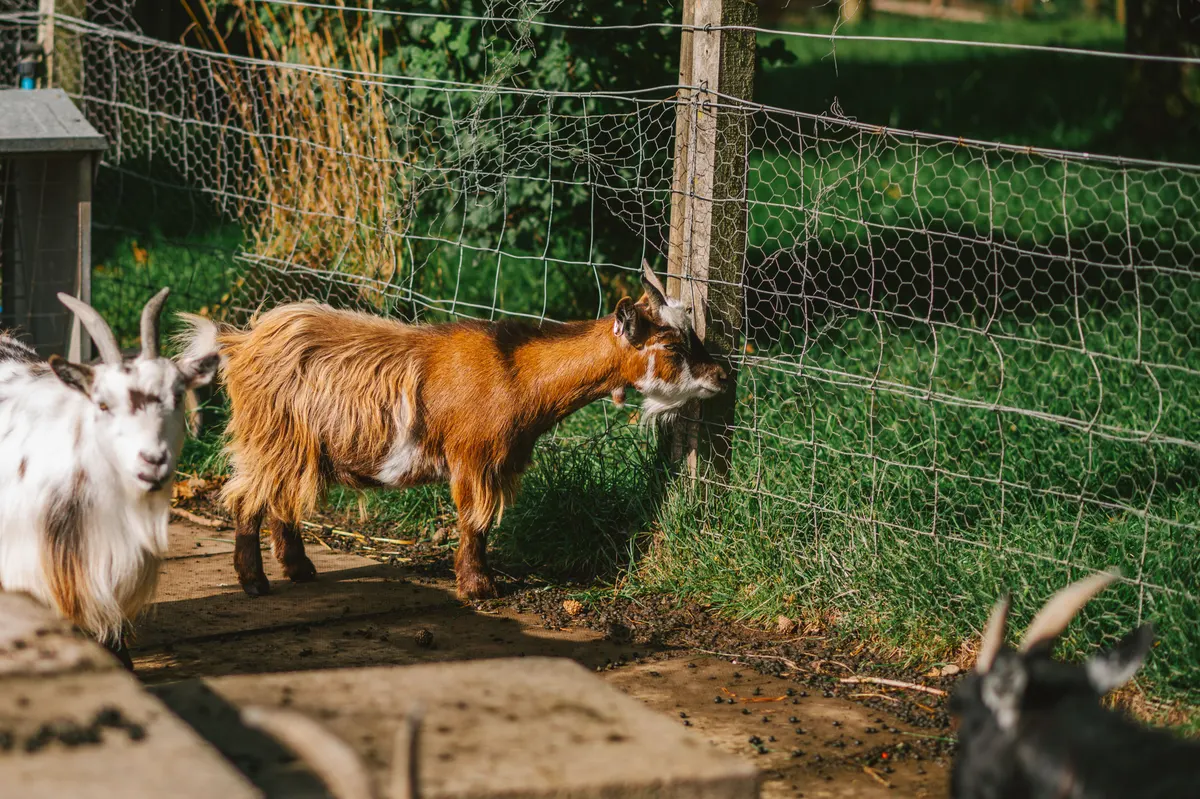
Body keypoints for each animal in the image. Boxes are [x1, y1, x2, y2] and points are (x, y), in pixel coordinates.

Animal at [176, 260, 730, 601]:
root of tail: (241, 342)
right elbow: (474, 522)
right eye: (673, 347)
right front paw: (478, 586)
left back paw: (300, 569)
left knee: (281, 499)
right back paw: (255, 582)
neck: (517, 373)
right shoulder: (474, 456)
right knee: (246, 498)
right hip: (271, 438)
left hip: (295, 445)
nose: (723, 376)